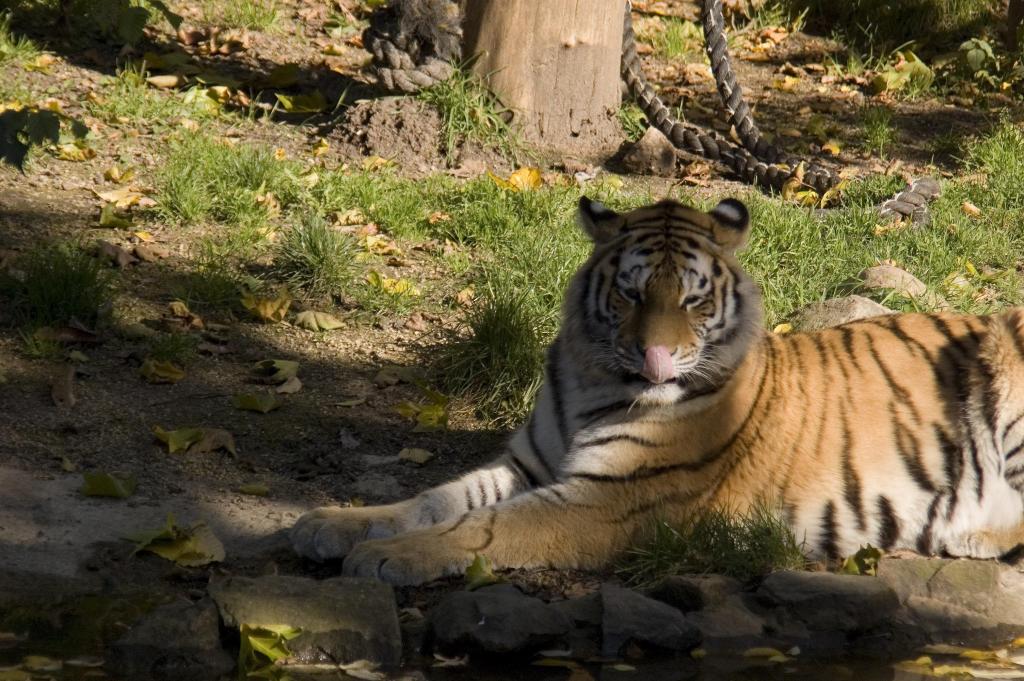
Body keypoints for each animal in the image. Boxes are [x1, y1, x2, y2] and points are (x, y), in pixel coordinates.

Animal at [291, 196, 1024, 585]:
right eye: (632, 292)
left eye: (695, 299)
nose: (657, 357)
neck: (592, 379)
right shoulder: (531, 464)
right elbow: (433, 499)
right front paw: (330, 523)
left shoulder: (606, 500)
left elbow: (483, 526)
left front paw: (386, 557)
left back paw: (971, 534)